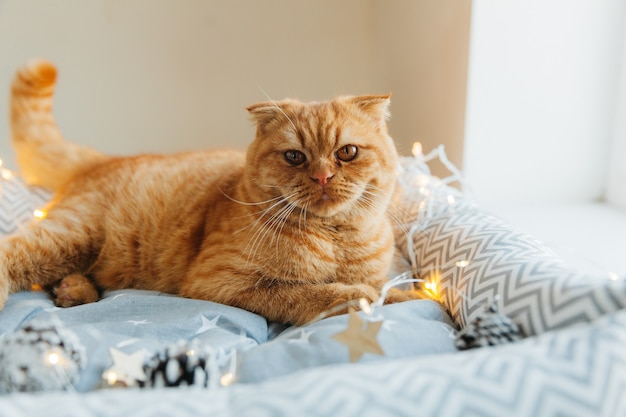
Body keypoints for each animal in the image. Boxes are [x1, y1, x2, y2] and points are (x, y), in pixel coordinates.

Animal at [1, 59, 414, 324]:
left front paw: (407, 295)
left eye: (347, 153)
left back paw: (74, 290)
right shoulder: (223, 280)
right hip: (68, 235)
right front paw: (363, 296)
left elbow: (388, 289)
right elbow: (324, 292)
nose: (323, 177)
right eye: (295, 157)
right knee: (16, 254)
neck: (335, 240)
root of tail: (103, 158)